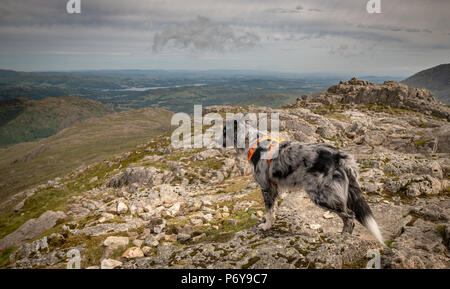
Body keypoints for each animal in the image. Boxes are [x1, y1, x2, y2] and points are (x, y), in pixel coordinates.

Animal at [221, 117, 384, 243]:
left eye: (224, 132)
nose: (216, 141)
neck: (253, 142)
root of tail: (339, 156)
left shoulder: (266, 187)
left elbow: (269, 210)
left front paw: (266, 226)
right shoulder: (274, 188)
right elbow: (273, 210)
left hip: (321, 195)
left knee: (349, 216)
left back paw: (342, 237)